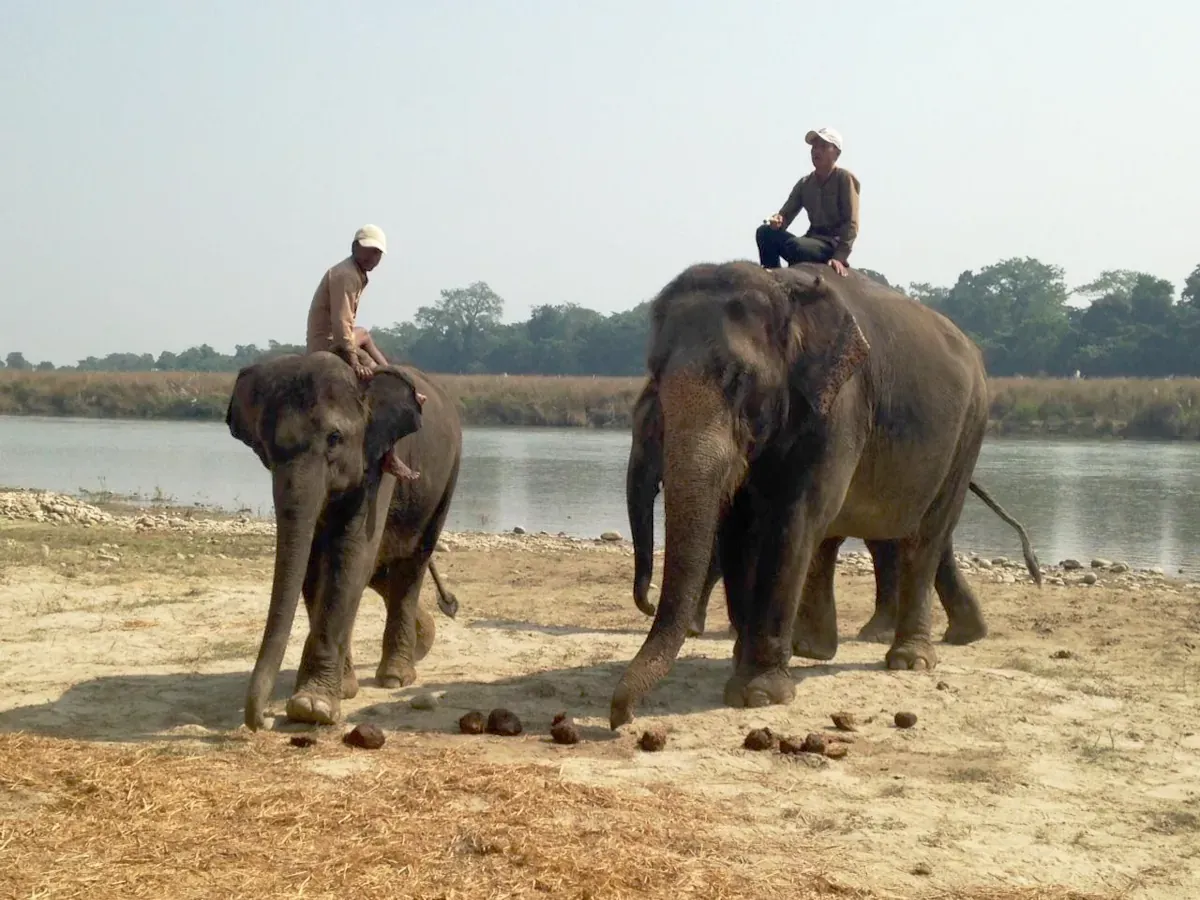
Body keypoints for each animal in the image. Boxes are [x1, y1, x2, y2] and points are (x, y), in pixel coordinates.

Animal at [225, 350, 463, 730]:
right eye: (267, 447)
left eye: (334, 438)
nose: (262, 721)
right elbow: (314, 562)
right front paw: (340, 691)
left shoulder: (379, 461)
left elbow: (351, 553)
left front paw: (312, 707)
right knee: (381, 571)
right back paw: (420, 639)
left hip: (446, 478)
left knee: (412, 564)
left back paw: (396, 676)